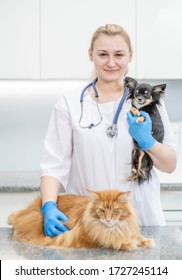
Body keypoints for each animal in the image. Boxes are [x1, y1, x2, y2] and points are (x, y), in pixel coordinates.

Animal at [7, 189, 154, 250]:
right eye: (102, 210)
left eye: (114, 210)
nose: (108, 220)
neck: (114, 227)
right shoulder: (89, 237)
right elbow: (113, 240)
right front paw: (127, 243)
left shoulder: (127, 228)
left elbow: (136, 236)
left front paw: (146, 241)